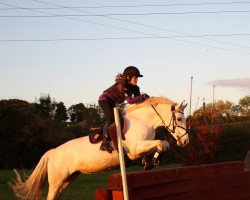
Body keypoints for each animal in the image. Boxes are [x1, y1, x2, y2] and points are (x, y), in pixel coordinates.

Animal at [10, 96, 189, 199]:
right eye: (180, 119)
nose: (186, 141)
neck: (143, 121)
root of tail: (53, 152)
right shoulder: (134, 149)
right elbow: (161, 143)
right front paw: (151, 162)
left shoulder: (143, 146)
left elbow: (163, 144)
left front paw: (149, 162)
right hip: (56, 181)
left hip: (67, 180)